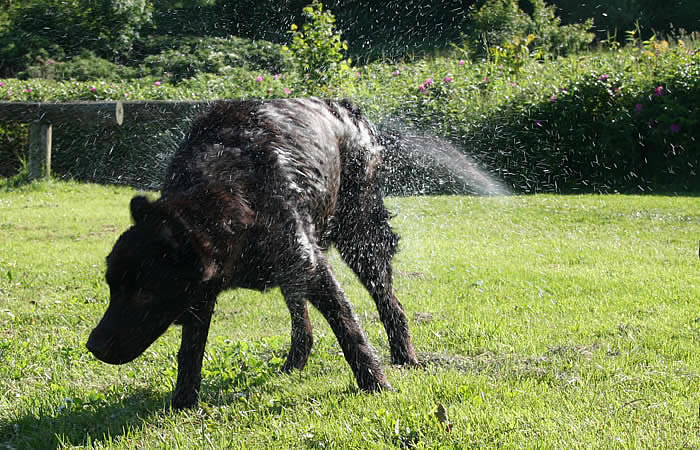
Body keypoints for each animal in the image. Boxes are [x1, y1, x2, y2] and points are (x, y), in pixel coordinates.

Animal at [85, 98, 418, 408]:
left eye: (144, 293)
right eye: (111, 287)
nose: (93, 346)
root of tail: (345, 106)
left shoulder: (314, 267)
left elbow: (349, 329)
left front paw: (375, 382)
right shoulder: (202, 293)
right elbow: (190, 350)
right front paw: (184, 402)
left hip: (359, 240)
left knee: (390, 303)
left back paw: (404, 355)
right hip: (294, 269)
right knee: (303, 322)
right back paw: (294, 363)